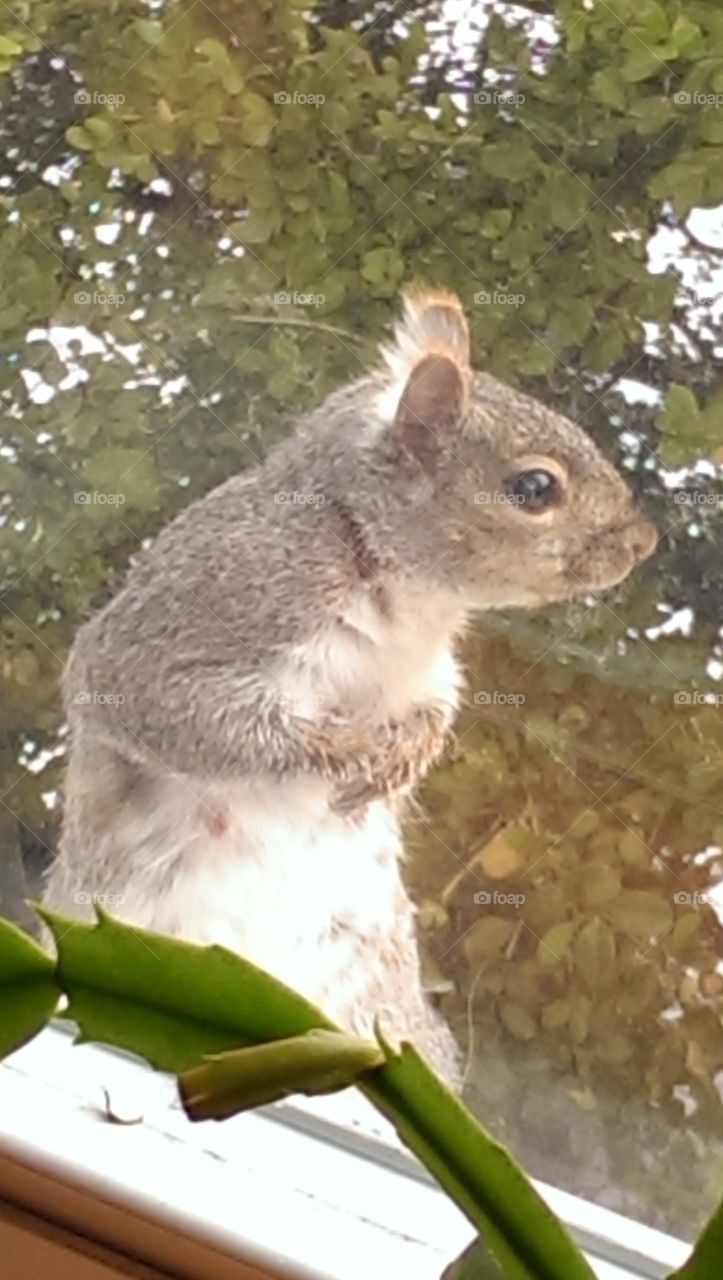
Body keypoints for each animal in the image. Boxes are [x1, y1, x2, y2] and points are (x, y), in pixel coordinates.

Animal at [43, 286, 656, 1082]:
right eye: (533, 487)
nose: (642, 542)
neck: (407, 599)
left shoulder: (429, 673)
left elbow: (435, 712)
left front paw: (405, 757)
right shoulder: (211, 608)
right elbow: (180, 709)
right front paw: (347, 754)